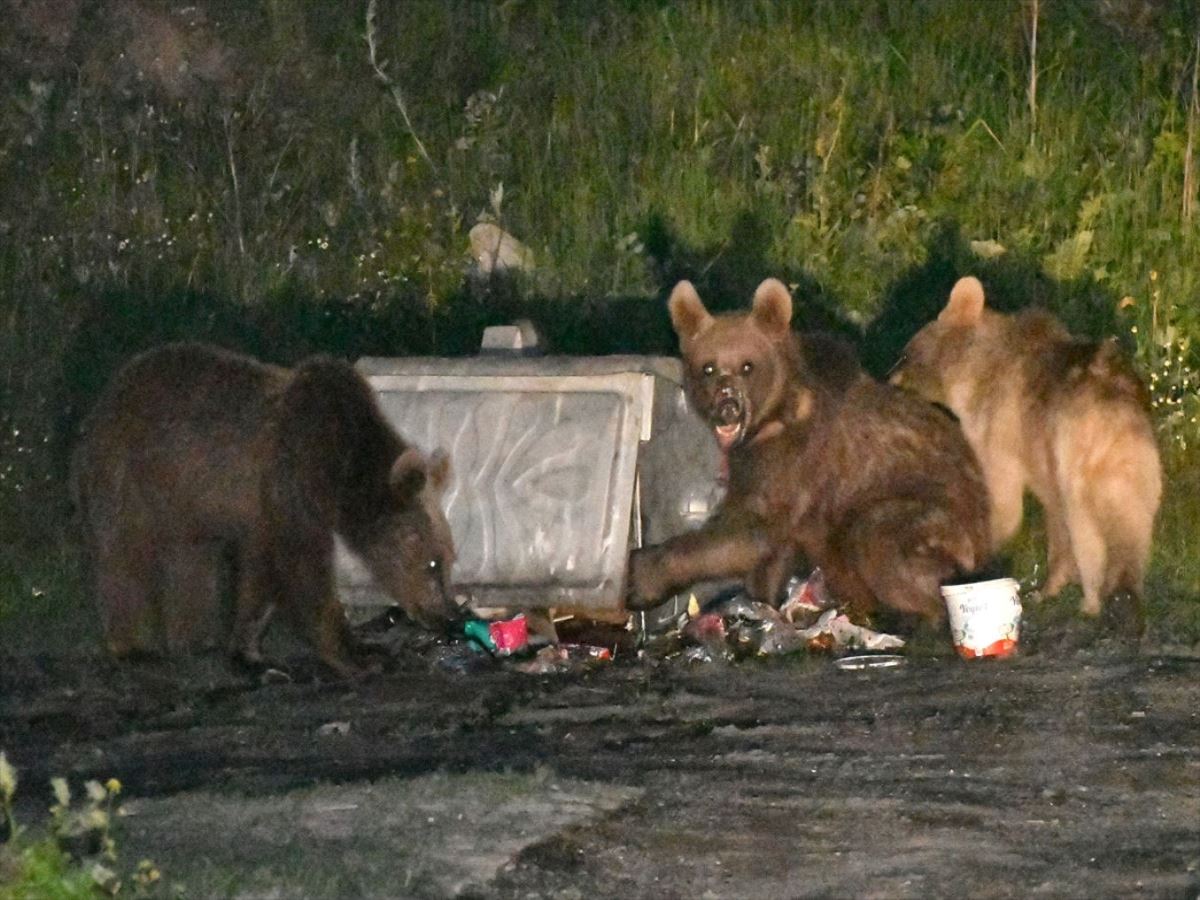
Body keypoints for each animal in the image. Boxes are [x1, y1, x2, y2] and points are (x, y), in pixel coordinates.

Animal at [72, 343, 460, 676]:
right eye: (432, 563)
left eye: (450, 558)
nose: (448, 617)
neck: (340, 468)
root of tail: (107, 397)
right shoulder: (289, 478)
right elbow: (303, 568)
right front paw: (359, 654)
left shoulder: (262, 514)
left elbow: (261, 576)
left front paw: (249, 652)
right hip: (131, 473)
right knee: (124, 555)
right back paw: (132, 647)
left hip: (184, 503)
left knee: (193, 565)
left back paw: (195, 640)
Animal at [892, 277, 1161, 633]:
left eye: (905, 353)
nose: (889, 379)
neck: (974, 369)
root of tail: (1114, 409)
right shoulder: (1040, 450)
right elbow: (1053, 515)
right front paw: (1050, 583)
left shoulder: (1000, 430)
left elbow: (1005, 503)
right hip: (1137, 466)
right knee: (1133, 527)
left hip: (1078, 458)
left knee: (1085, 527)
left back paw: (1091, 601)